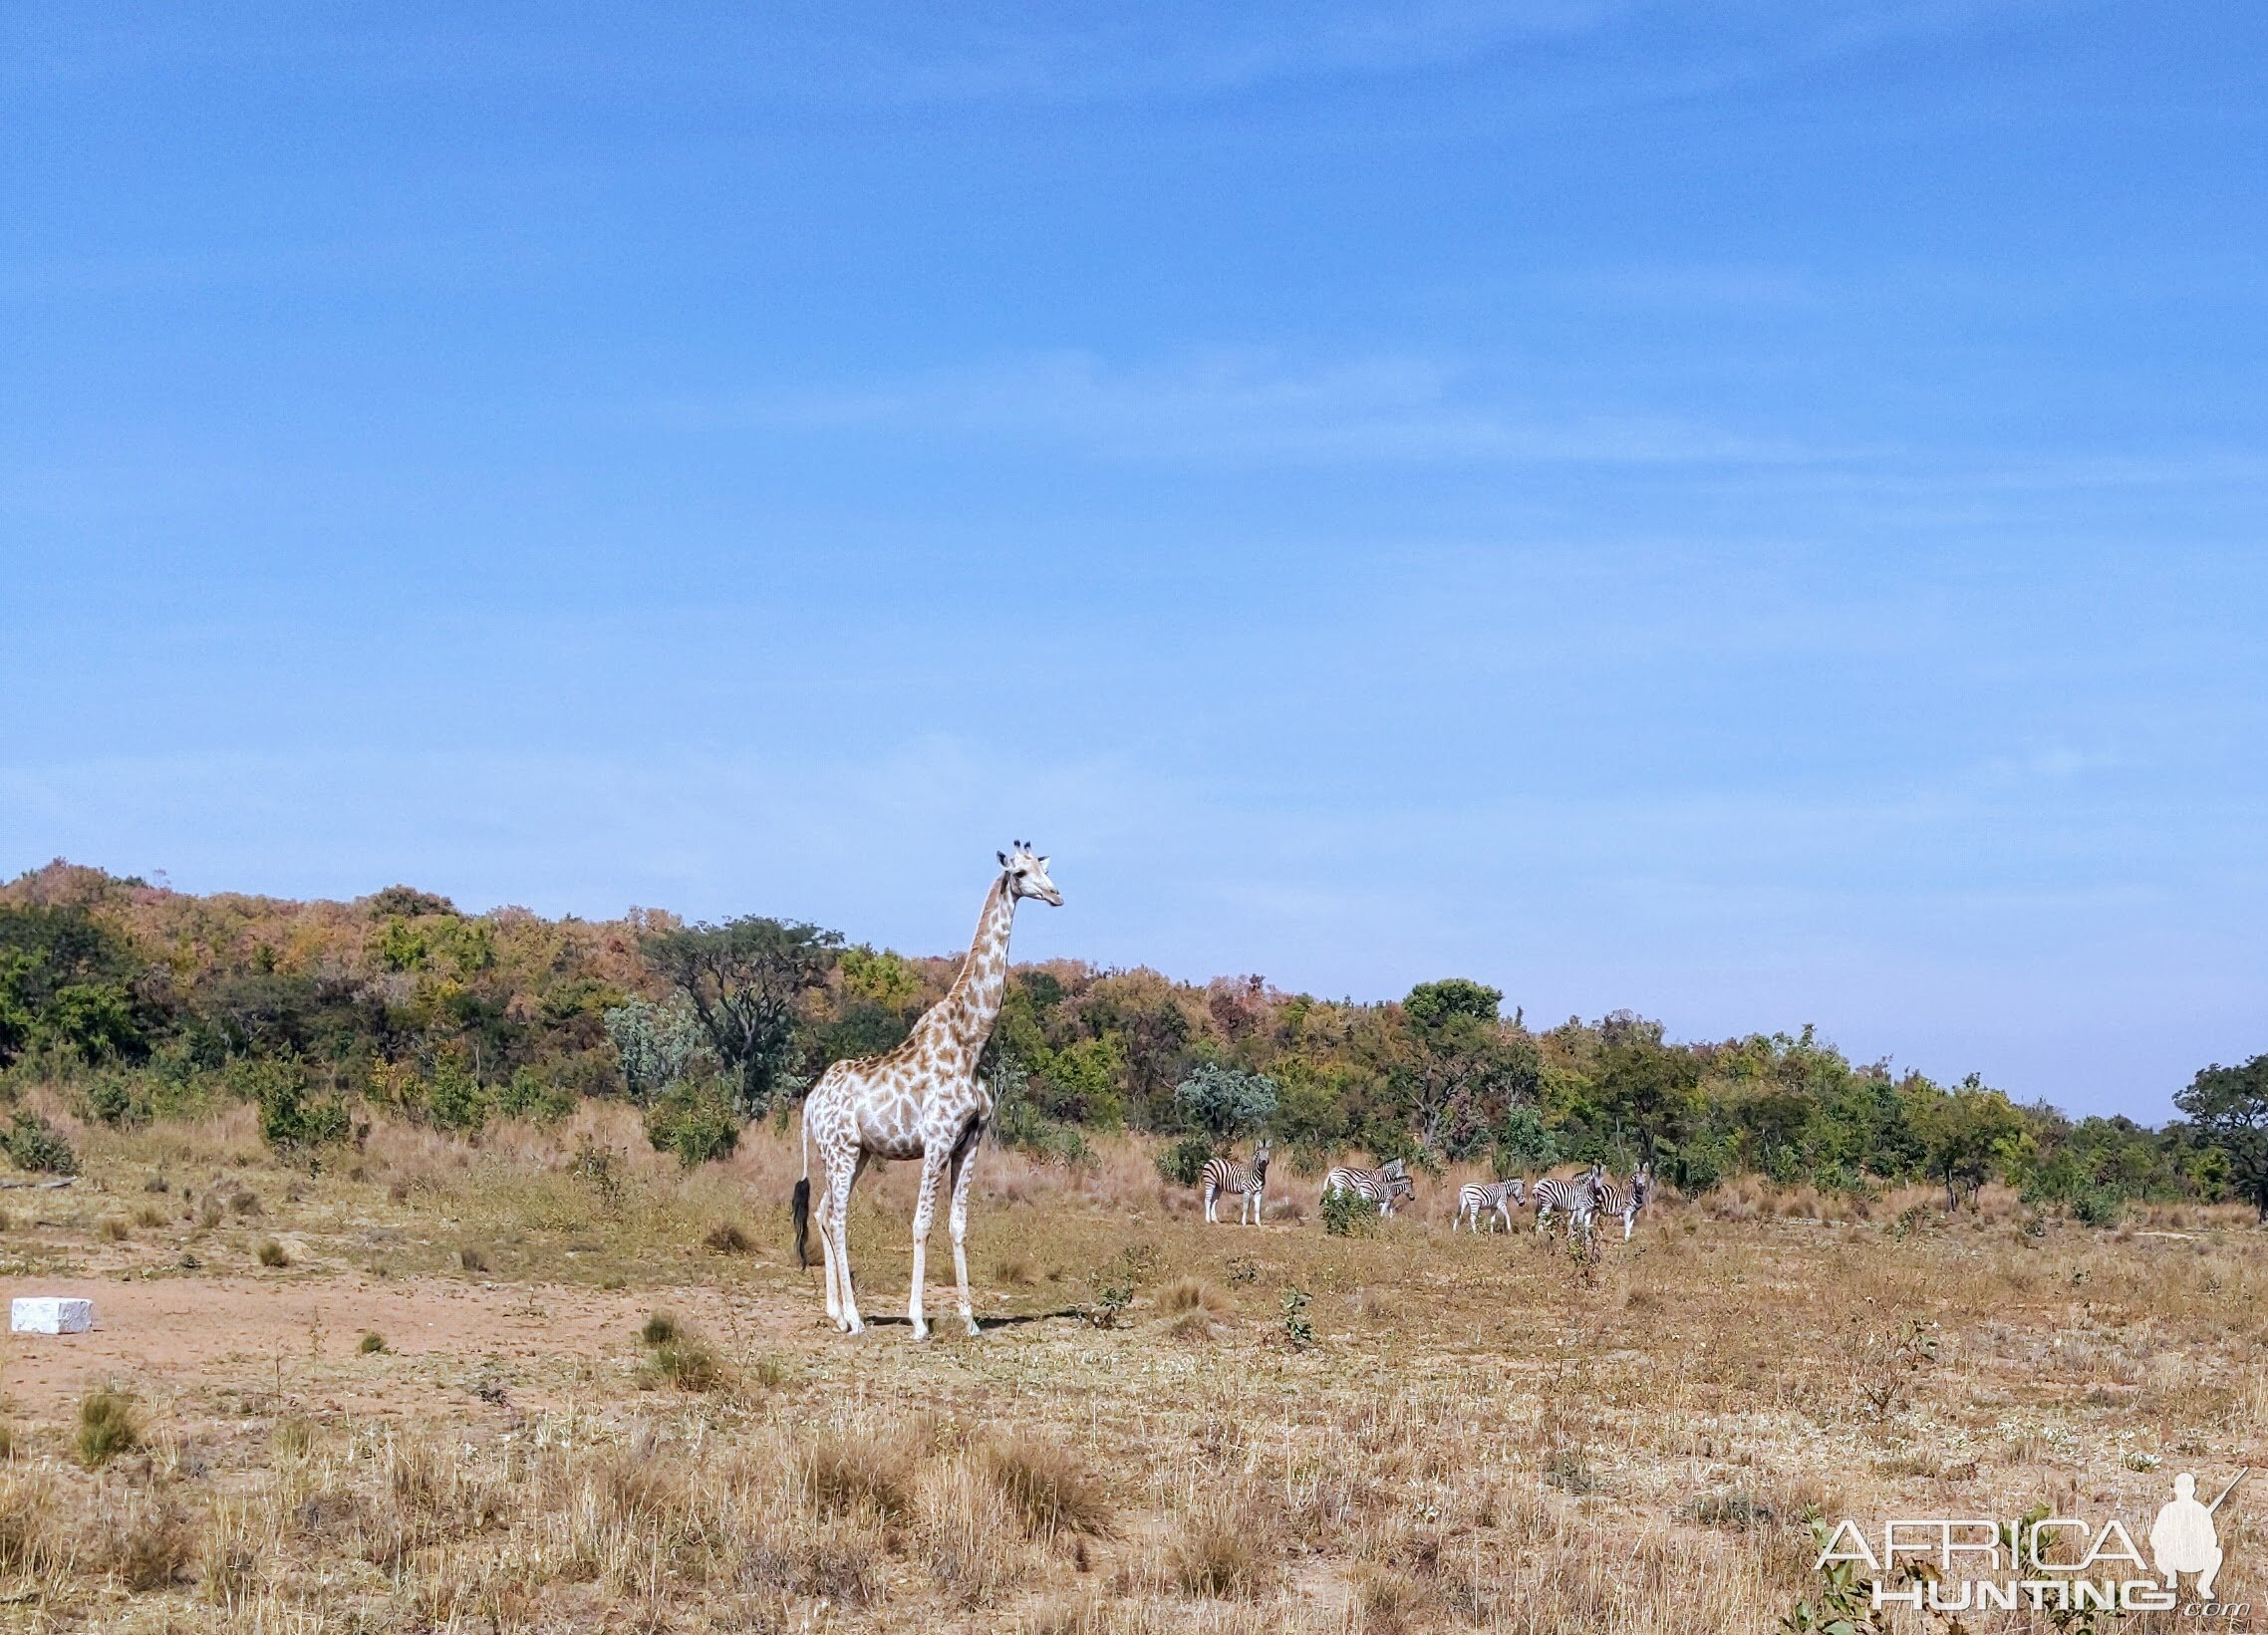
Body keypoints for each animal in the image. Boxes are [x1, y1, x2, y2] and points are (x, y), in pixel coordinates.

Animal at [789, 843, 1061, 1342]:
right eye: (1018, 873)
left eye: (1044, 868)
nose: (1055, 895)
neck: (971, 1044)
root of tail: (811, 1100)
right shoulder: (936, 1140)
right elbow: (921, 1224)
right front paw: (918, 1320)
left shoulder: (969, 1142)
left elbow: (957, 1225)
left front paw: (970, 1320)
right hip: (841, 1150)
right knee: (836, 1216)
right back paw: (855, 1319)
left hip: (855, 1153)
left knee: (821, 1211)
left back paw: (837, 1313)